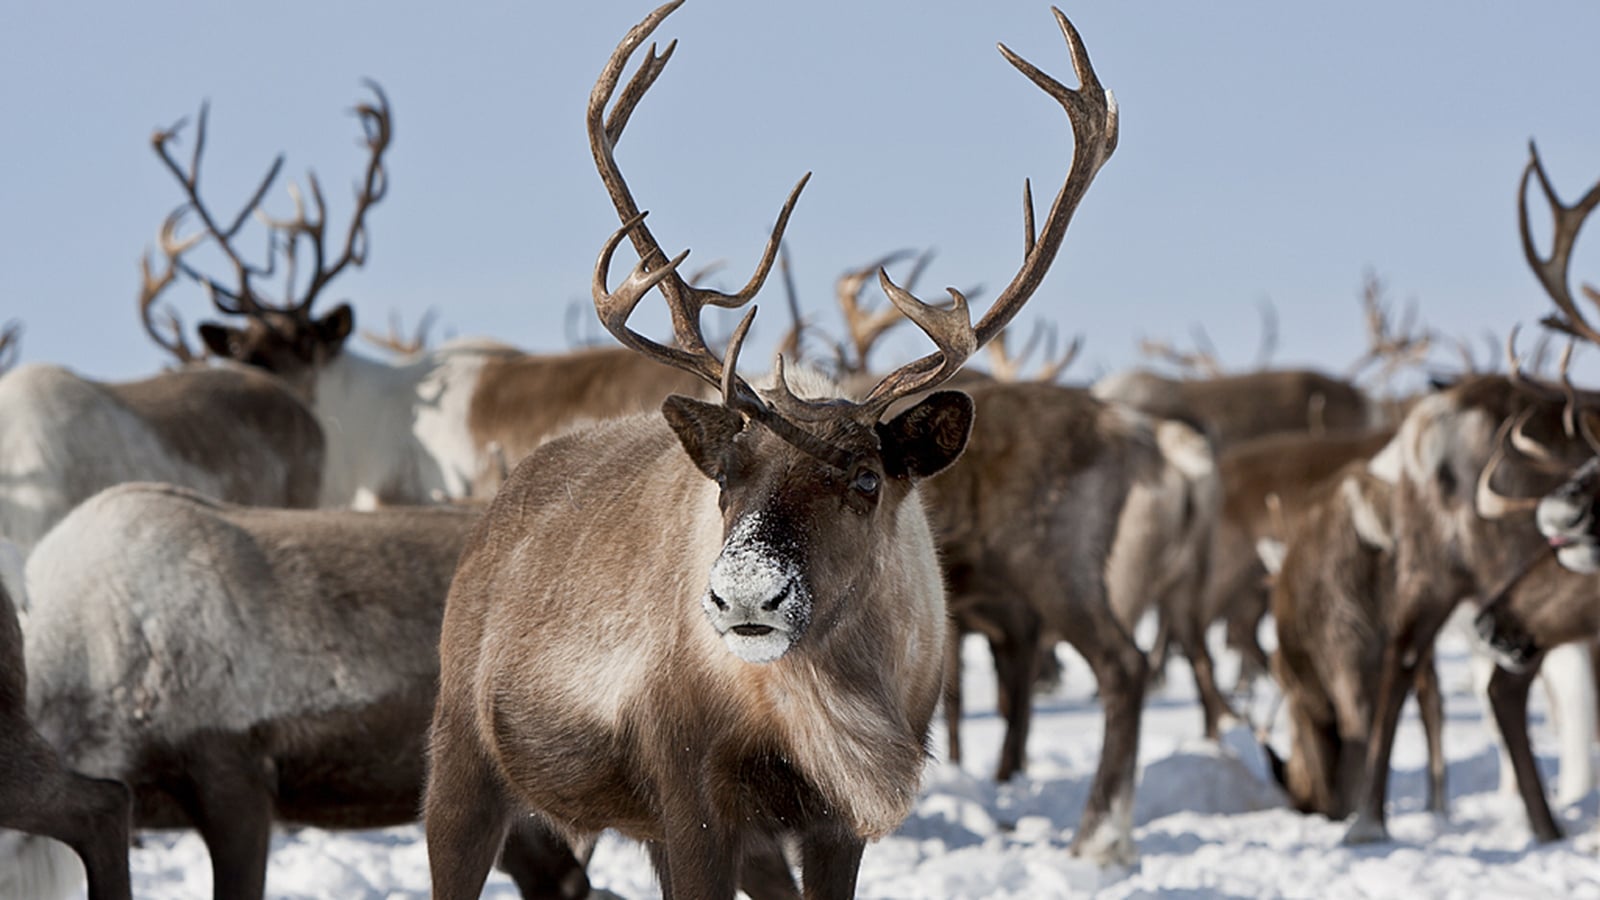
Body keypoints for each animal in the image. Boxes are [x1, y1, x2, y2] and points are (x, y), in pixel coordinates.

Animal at [423, 2, 1118, 896]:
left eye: (867, 478)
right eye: (725, 479)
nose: (743, 597)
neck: (826, 715)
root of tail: (500, 507)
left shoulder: (833, 825)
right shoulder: (694, 803)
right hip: (462, 761)